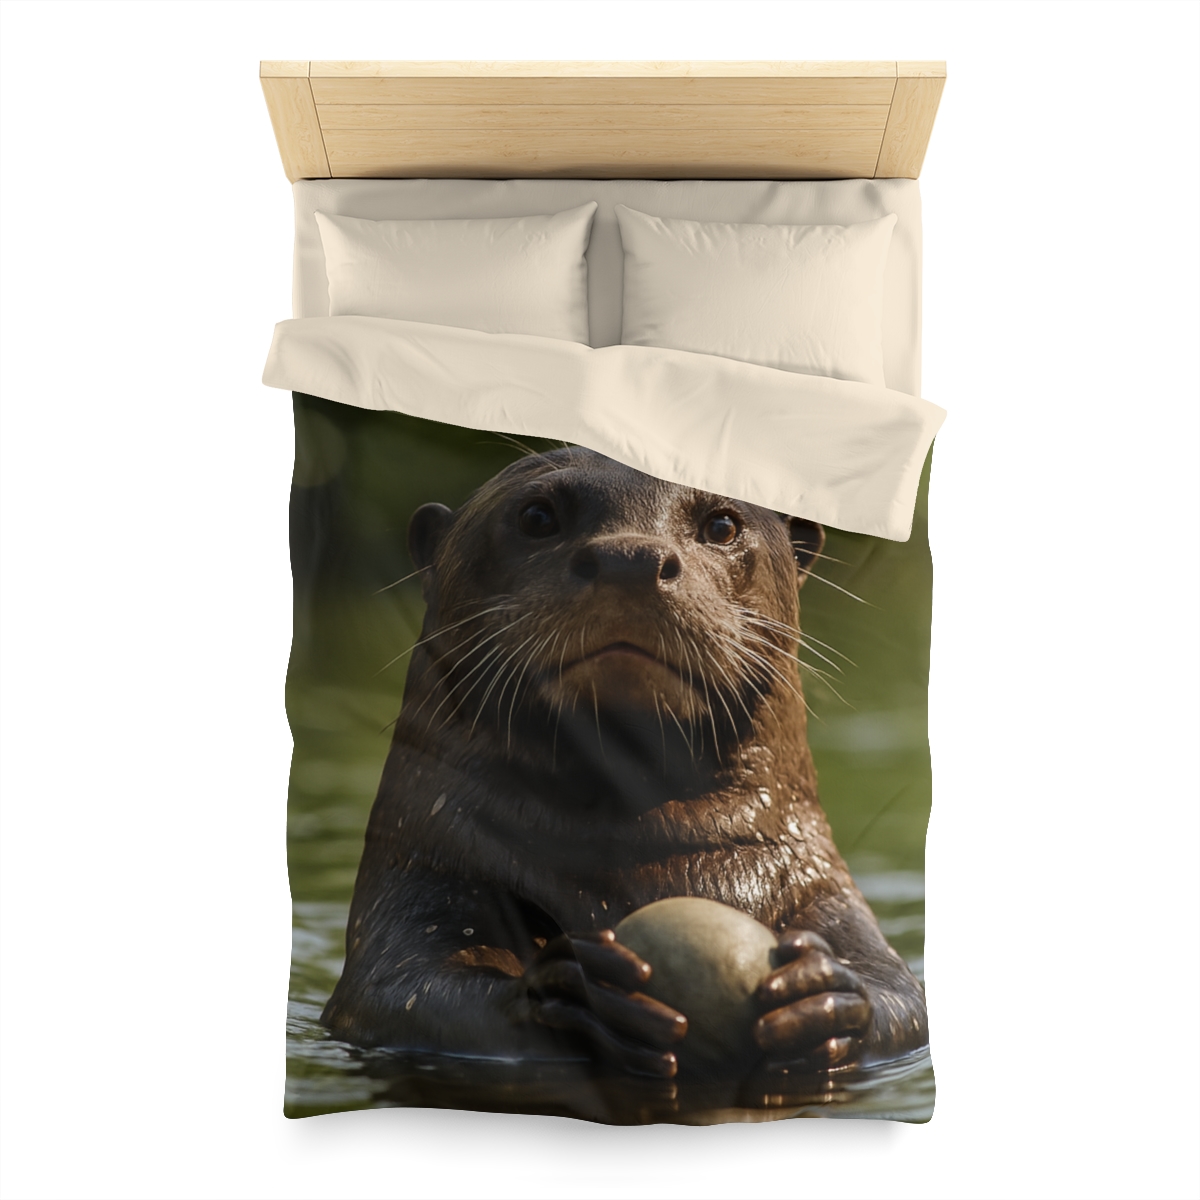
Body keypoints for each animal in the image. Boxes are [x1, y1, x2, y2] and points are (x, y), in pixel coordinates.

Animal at [321, 447, 927, 1078]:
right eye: (537, 516)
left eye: (721, 524)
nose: (630, 559)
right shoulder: (423, 870)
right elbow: (403, 991)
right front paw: (584, 990)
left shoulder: (822, 889)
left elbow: (902, 1000)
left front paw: (822, 995)